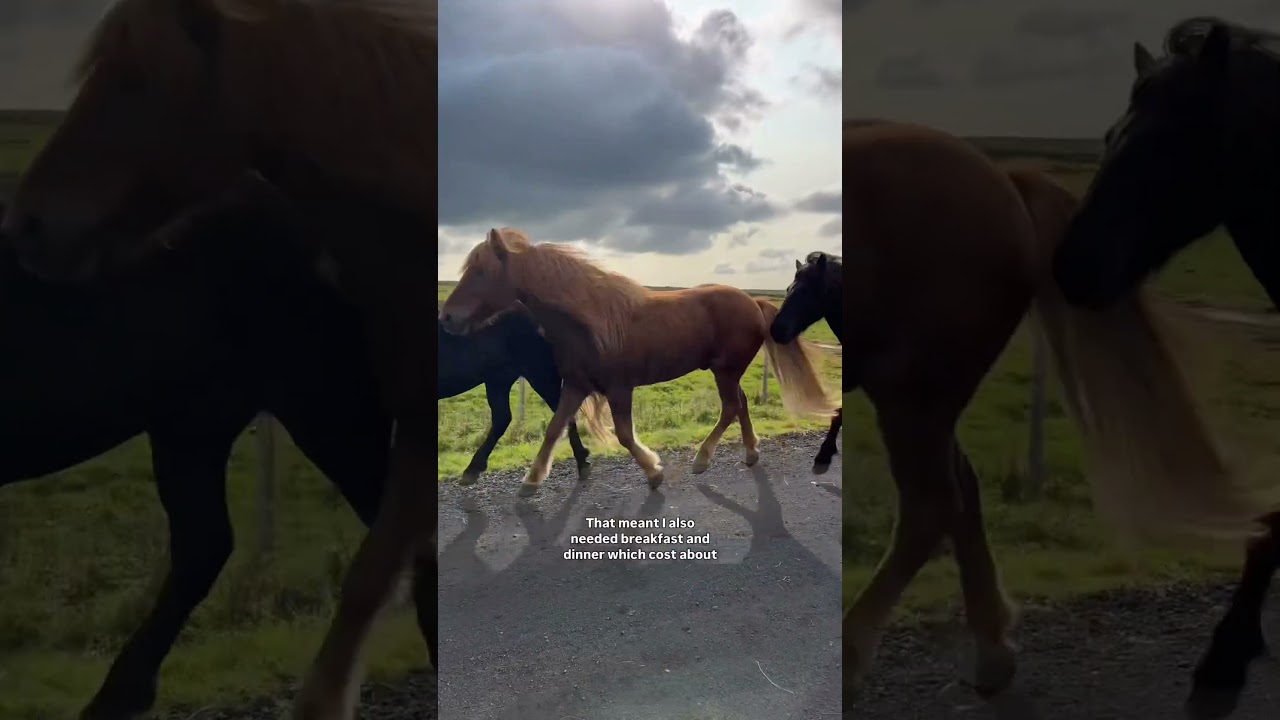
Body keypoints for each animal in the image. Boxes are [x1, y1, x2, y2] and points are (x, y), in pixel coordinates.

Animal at [841, 119, 1280, 709]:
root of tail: (1003, 180)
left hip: (911, 395)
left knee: (931, 506)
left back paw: (853, 658)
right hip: (923, 402)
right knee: (960, 493)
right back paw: (992, 653)